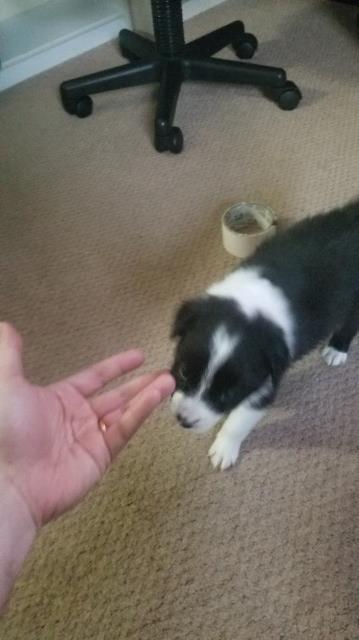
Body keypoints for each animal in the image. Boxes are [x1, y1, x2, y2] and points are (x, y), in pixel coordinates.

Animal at [170, 201, 359, 470]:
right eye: (184, 372)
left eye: (228, 394)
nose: (183, 420)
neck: (251, 302)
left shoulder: (267, 378)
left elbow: (240, 419)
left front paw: (223, 449)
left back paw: (336, 349)